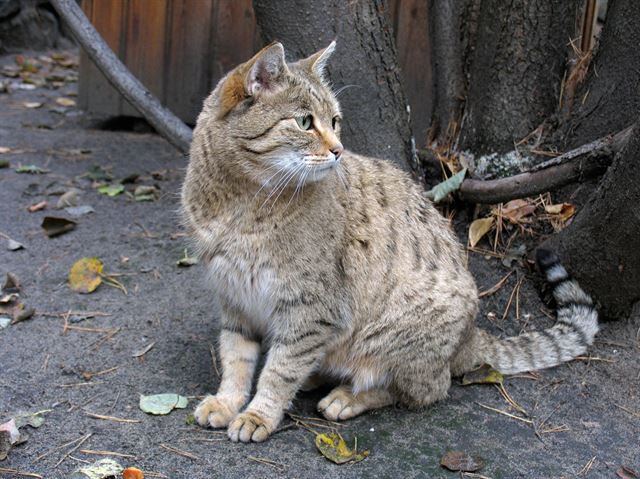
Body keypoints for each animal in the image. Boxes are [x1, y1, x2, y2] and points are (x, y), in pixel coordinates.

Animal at [181, 43, 600, 444]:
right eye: (304, 122)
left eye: (334, 121)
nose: (339, 150)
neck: (239, 203)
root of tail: (470, 338)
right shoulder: (235, 298)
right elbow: (236, 359)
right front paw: (227, 402)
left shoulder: (312, 308)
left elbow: (279, 371)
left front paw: (258, 414)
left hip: (394, 333)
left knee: (424, 389)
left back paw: (347, 397)